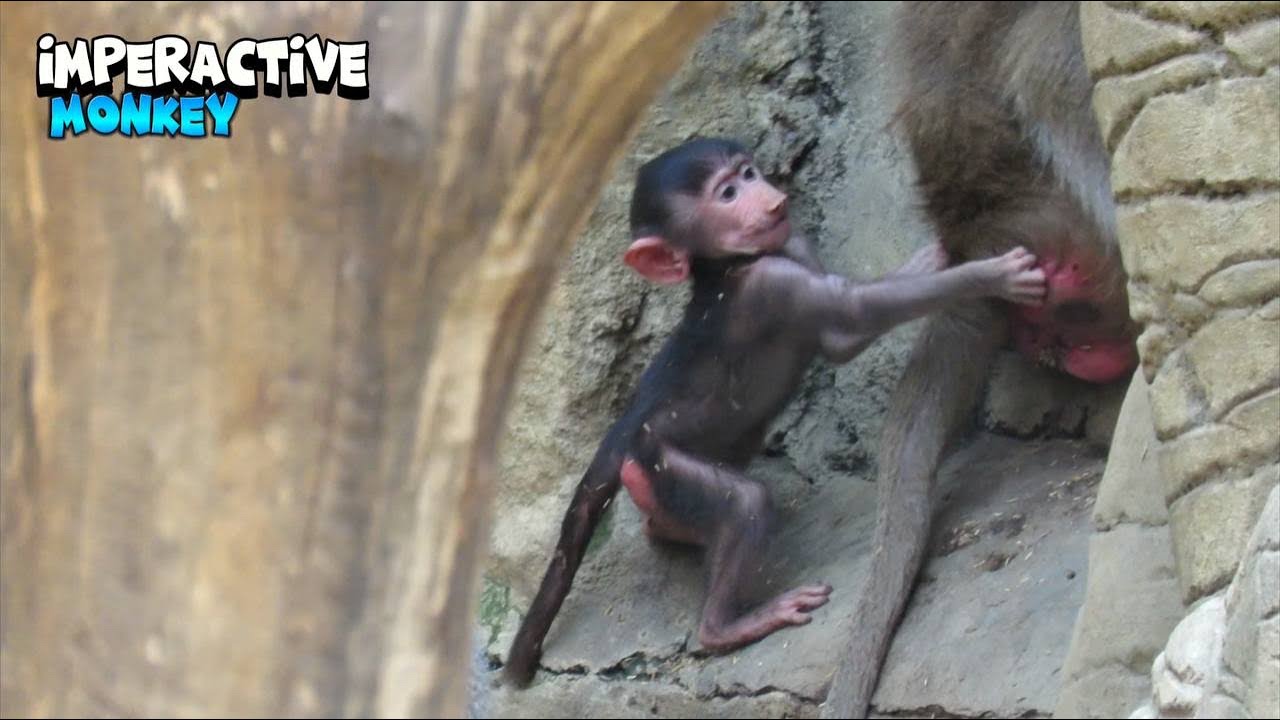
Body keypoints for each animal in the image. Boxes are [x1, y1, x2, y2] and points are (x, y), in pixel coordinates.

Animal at [503, 137, 1050, 687]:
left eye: (748, 173)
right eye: (726, 193)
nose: (767, 194)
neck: (725, 268)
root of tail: (626, 428)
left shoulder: (793, 243)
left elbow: (841, 327)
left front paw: (945, 247)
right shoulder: (773, 283)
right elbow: (851, 318)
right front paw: (992, 273)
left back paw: (670, 528)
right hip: (660, 456)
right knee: (744, 502)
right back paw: (727, 626)